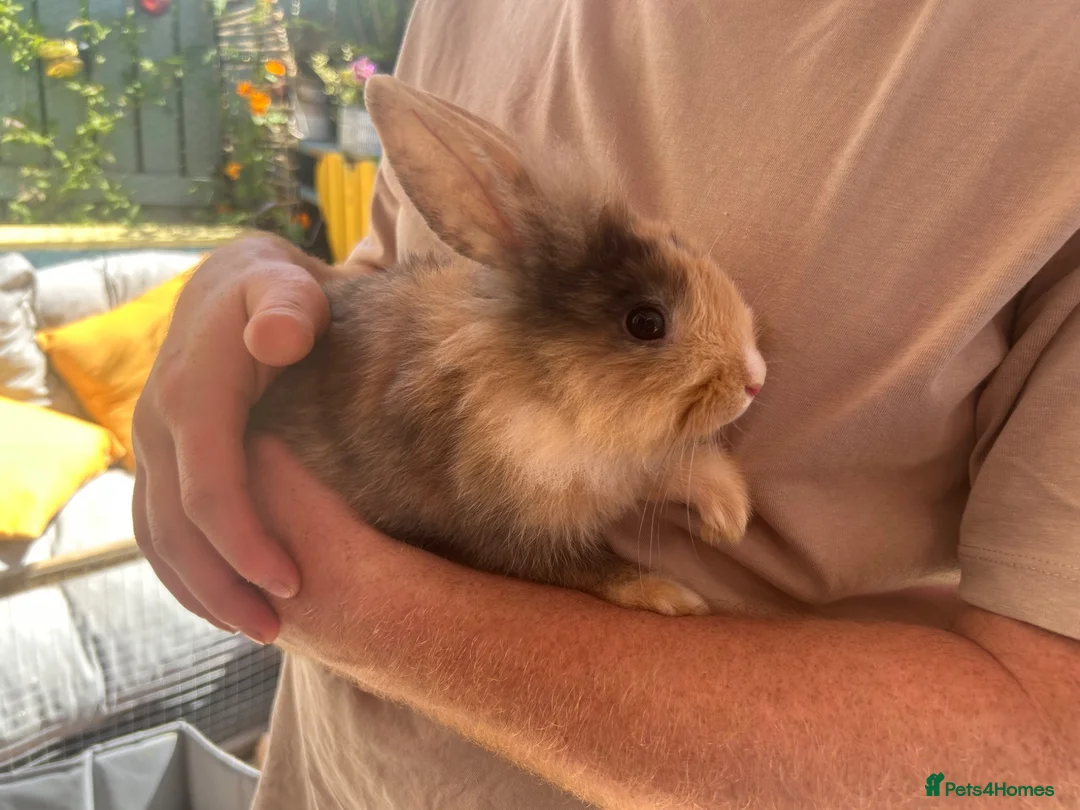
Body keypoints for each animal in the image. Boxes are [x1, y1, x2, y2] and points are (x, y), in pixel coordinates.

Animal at [249, 75, 767, 617]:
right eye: (646, 322)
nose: (755, 379)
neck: (553, 398)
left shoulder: (635, 463)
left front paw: (727, 515)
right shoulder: (509, 536)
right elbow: (597, 571)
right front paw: (676, 596)